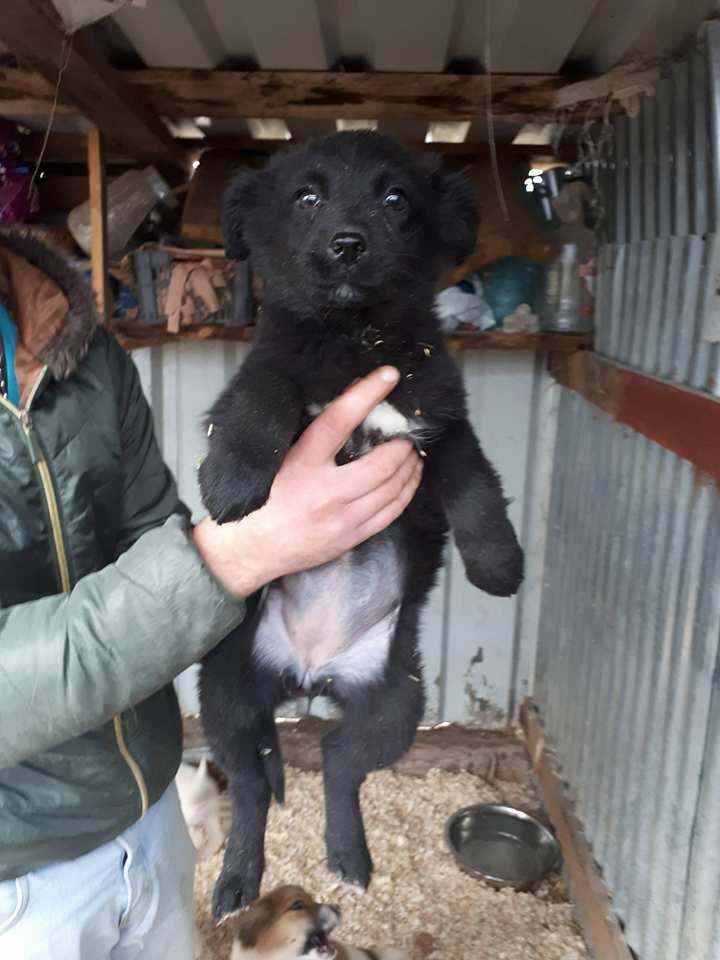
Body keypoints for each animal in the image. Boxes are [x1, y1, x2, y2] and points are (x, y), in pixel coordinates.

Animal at [197, 131, 524, 920]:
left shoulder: (436, 418)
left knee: (341, 765)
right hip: (225, 686)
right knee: (250, 786)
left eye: (396, 199)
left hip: (396, 699)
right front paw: (230, 482)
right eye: (306, 197)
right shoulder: (263, 371)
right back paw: (237, 879)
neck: (357, 339)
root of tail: (311, 672)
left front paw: (498, 564)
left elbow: (477, 484)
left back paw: (347, 855)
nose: (347, 245)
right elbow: (261, 392)